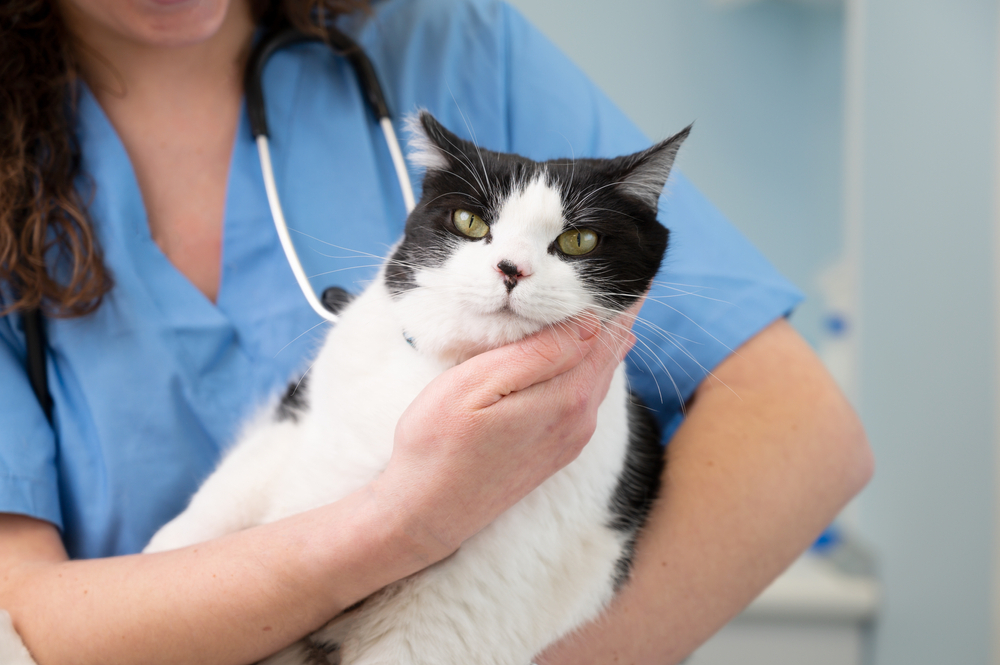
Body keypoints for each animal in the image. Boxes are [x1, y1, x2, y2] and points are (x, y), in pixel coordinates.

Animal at [145, 111, 688, 660]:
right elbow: (221, 499)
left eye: (580, 240)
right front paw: (168, 555)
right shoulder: (298, 419)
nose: (511, 269)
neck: (438, 377)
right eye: (470, 222)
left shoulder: (456, 612)